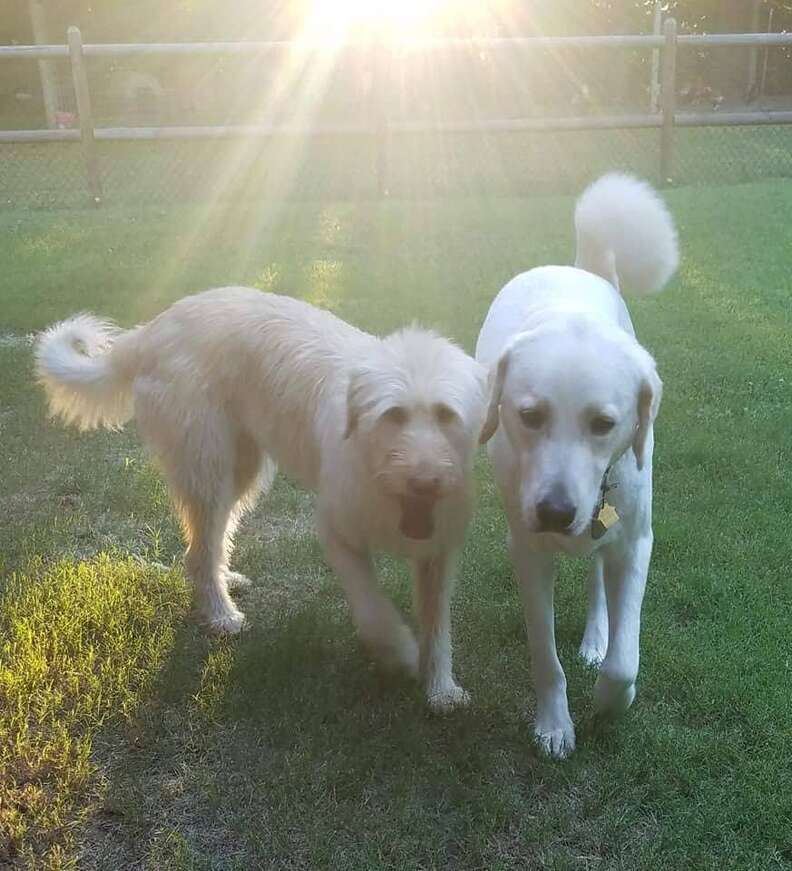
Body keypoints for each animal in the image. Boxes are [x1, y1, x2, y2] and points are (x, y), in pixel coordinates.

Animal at [37, 290, 488, 712]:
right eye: (394, 415)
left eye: (446, 415)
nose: (426, 482)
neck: (375, 463)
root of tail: (155, 328)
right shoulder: (337, 534)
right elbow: (374, 610)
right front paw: (402, 653)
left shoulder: (438, 554)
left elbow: (437, 624)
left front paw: (441, 688)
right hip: (208, 469)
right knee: (198, 551)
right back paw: (221, 612)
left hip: (241, 470)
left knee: (208, 543)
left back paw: (224, 581)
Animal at [476, 172, 680, 756]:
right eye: (530, 415)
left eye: (603, 423)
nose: (554, 511)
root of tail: (577, 267)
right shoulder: (527, 553)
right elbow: (545, 659)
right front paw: (554, 723)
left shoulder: (635, 543)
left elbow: (624, 663)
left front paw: (609, 703)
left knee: (596, 578)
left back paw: (595, 636)